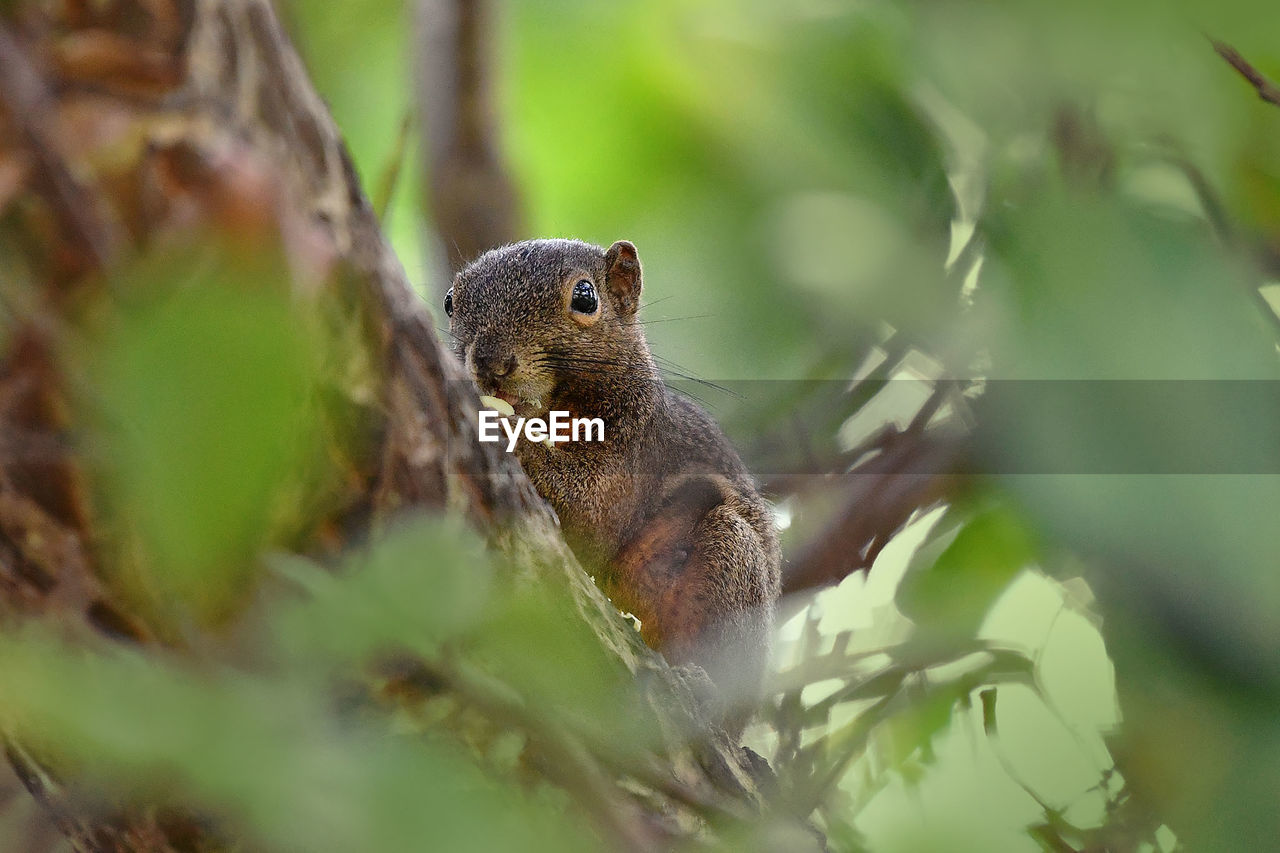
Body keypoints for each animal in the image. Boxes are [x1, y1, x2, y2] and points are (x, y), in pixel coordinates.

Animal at [445, 235, 778, 727]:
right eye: (450, 302)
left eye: (585, 297)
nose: (489, 362)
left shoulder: (633, 447)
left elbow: (592, 513)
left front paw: (506, 427)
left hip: (732, 558)